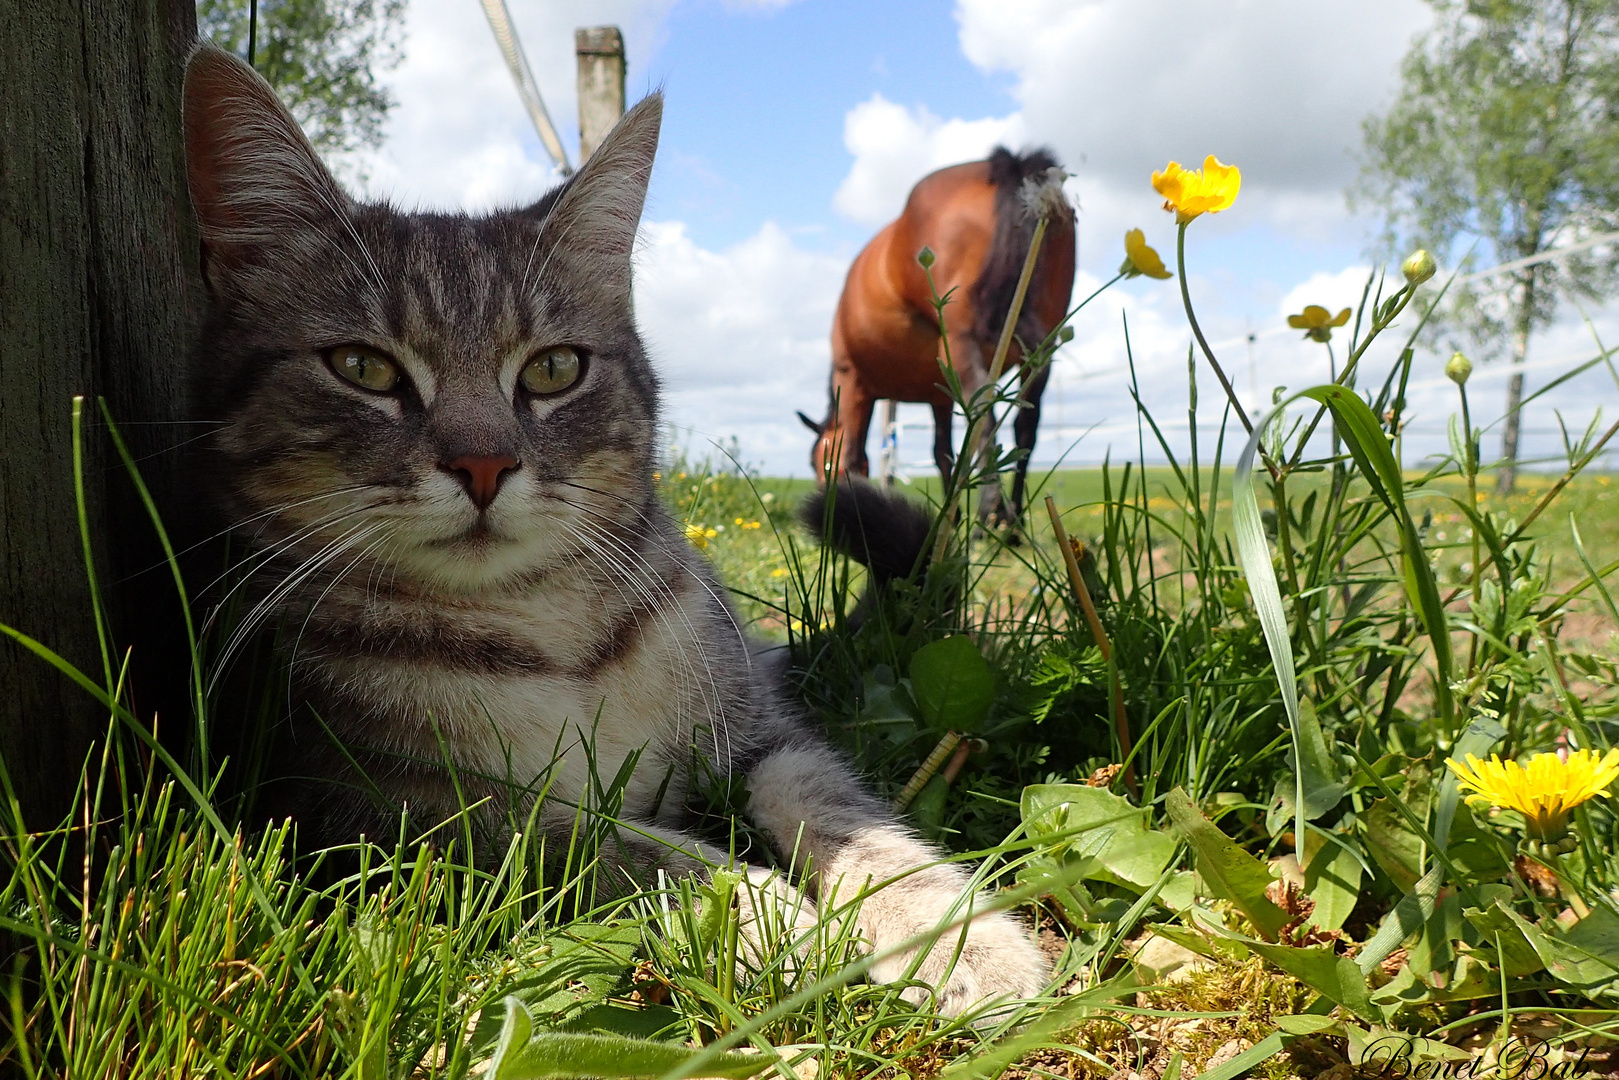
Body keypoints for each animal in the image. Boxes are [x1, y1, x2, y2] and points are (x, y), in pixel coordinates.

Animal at [183, 42, 1042, 1016]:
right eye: (361, 366)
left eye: (554, 369)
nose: (484, 465)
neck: (552, 635)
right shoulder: (389, 815)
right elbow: (619, 848)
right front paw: (779, 920)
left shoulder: (763, 730)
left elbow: (839, 808)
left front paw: (951, 931)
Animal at [796, 148, 1075, 527]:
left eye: (817, 464)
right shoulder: (939, 397)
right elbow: (943, 452)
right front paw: (949, 520)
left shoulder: (852, 382)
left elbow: (853, 454)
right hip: (1040, 350)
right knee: (1025, 429)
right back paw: (1012, 524)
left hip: (963, 344)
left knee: (984, 414)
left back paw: (991, 516)